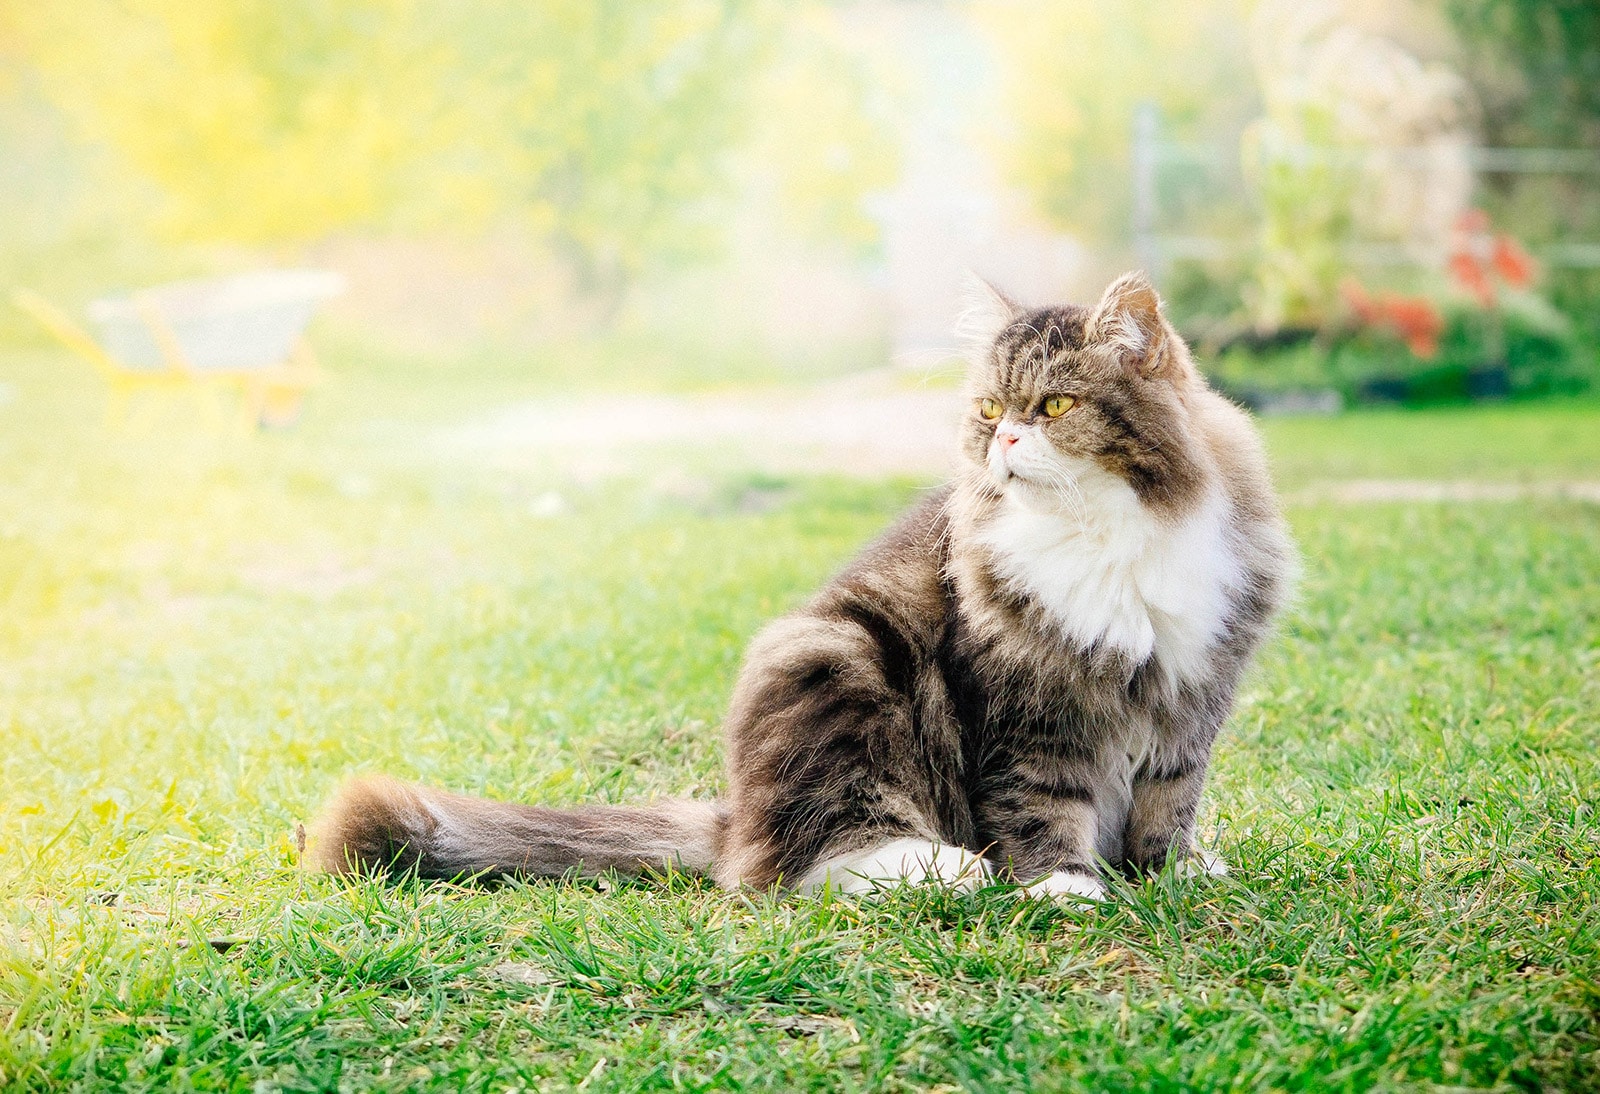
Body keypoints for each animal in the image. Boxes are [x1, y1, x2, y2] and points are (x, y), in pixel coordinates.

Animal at [315, 271, 1299, 895]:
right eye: (989, 411)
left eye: (1053, 407)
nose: (1006, 442)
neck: (1107, 537)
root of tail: (738, 815)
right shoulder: (1028, 705)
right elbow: (1040, 801)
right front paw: (1063, 886)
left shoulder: (1194, 689)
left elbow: (1170, 801)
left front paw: (1170, 872)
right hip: (838, 655)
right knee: (796, 867)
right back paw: (946, 870)